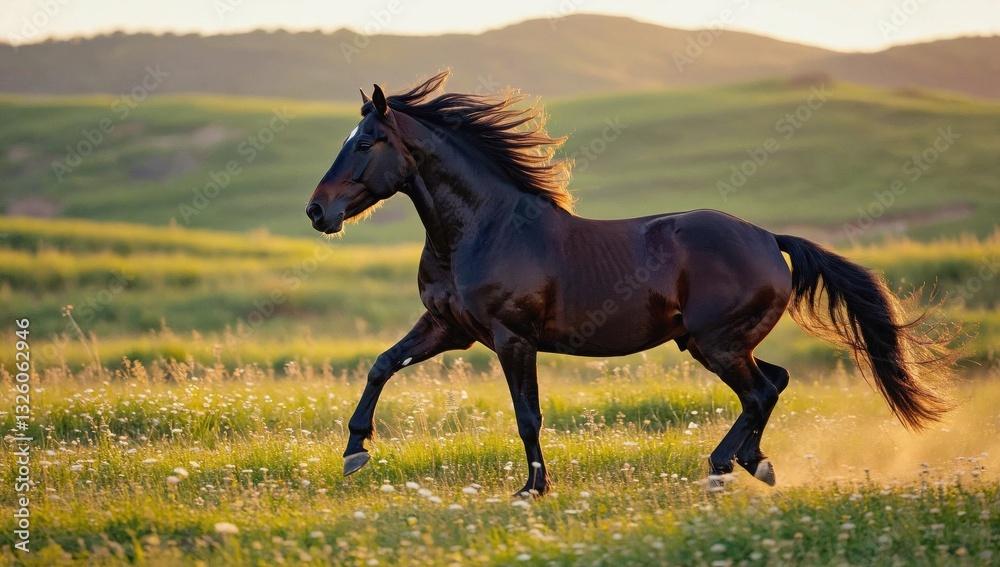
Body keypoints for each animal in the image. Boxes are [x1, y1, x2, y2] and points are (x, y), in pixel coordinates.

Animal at [305, 71, 956, 495]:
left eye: (367, 143)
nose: (317, 211)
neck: (482, 230)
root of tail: (769, 240)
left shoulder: (512, 337)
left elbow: (527, 414)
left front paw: (531, 490)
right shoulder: (448, 327)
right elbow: (381, 366)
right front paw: (355, 453)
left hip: (716, 343)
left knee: (761, 392)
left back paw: (722, 468)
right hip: (716, 344)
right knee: (774, 382)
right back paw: (754, 464)